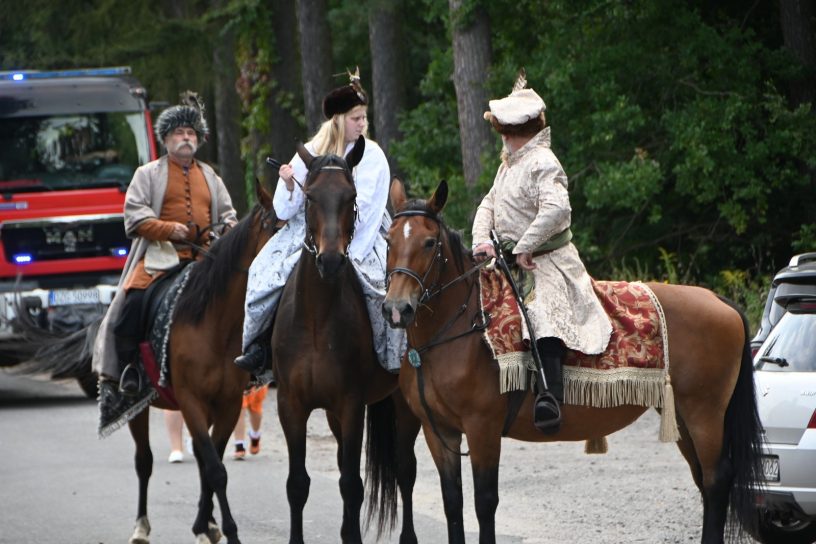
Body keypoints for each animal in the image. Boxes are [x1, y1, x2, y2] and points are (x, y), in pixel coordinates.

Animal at [19, 181, 277, 544]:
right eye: (276, 228)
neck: (213, 322)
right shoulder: (191, 400)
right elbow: (216, 470)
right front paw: (227, 531)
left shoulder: (226, 404)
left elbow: (212, 466)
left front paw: (207, 525)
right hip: (135, 404)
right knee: (144, 461)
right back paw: (141, 527)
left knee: (197, 458)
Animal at [271, 139, 421, 544]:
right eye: (308, 196)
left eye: (351, 196)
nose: (331, 260)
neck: (315, 320)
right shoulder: (292, 405)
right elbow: (296, 484)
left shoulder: (352, 405)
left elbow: (353, 484)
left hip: (403, 405)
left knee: (405, 469)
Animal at [381, 179, 764, 544]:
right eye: (388, 240)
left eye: (429, 243)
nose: (397, 309)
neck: (459, 332)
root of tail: (719, 300)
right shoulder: (438, 432)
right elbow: (453, 503)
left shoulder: (482, 428)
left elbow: (484, 503)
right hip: (682, 416)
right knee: (704, 480)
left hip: (704, 414)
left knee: (716, 481)